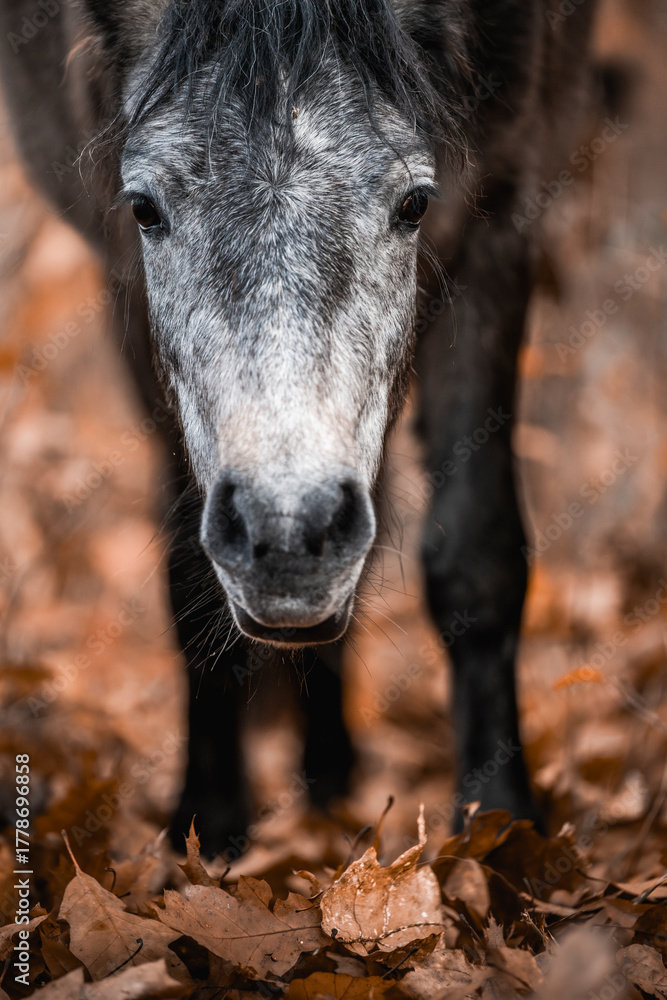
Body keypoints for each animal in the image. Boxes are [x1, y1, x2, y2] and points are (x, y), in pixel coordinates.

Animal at [0, 0, 598, 856]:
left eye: (413, 203)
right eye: (144, 207)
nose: (286, 536)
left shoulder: (502, 218)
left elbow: (476, 558)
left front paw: (501, 828)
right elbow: (190, 566)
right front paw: (207, 830)